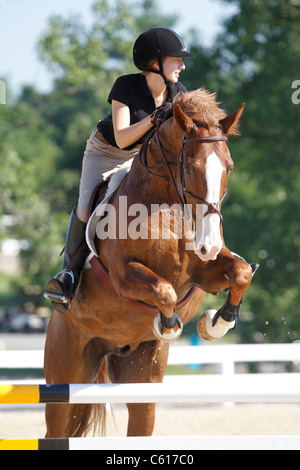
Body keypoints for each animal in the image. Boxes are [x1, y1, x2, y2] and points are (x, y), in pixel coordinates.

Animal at [43, 87, 256, 436]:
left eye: (230, 167)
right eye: (189, 168)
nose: (208, 244)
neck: (168, 204)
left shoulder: (204, 272)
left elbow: (239, 273)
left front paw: (216, 323)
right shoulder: (123, 275)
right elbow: (163, 291)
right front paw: (167, 325)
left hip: (139, 378)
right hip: (67, 370)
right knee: (56, 427)